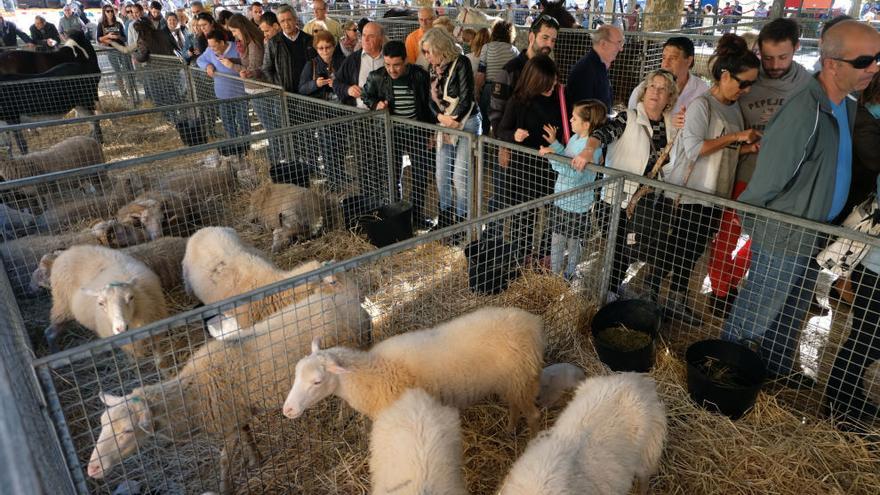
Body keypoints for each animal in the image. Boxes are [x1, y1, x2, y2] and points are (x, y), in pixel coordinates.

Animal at [84, 276, 370, 495]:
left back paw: (341, 421)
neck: (192, 393)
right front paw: (255, 458)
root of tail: (350, 300)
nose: (92, 469)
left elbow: (223, 459)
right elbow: (247, 435)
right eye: (101, 424)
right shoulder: (237, 411)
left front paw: (225, 487)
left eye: (127, 431)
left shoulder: (226, 421)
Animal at [284, 306, 544, 434]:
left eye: (317, 381)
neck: (373, 373)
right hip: (512, 381)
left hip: (522, 378)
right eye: (296, 375)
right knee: (514, 406)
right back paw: (509, 430)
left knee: (533, 415)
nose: (287, 410)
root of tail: (532, 323)